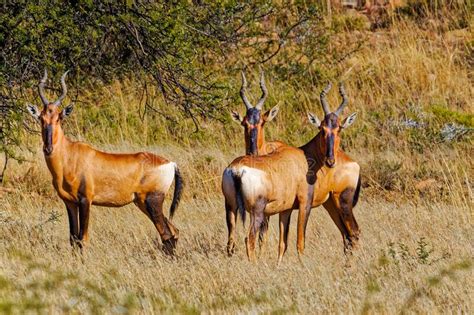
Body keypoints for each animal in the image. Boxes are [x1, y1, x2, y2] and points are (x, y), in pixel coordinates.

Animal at [26, 70, 181, 256]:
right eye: (41, 118)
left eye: (58, 118)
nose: (48, 148)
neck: (69, 155)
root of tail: (171, 164)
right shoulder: (69, 202)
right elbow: (73, 239)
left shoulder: (86, 200)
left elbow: (82, 239)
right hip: (142, 202)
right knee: (174, 231)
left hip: (152, 201)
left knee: (166, 233)